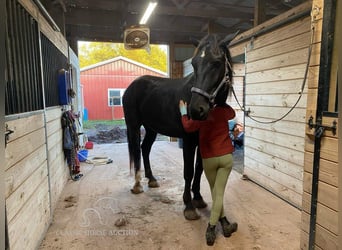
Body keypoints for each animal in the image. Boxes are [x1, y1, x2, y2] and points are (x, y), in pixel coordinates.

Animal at [121, 32, 236, 220]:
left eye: (218, 62)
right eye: (194, 63)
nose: (196, 110)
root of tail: (132, 86)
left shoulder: (201, 142)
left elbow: (199, 169)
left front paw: (198, 198)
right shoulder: (189, 140)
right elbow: (188, 171)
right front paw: (188, 206)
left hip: (152, 128)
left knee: (145, 148)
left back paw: (151, 179)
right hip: (134, 126)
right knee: (137, 151)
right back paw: (137, 185)